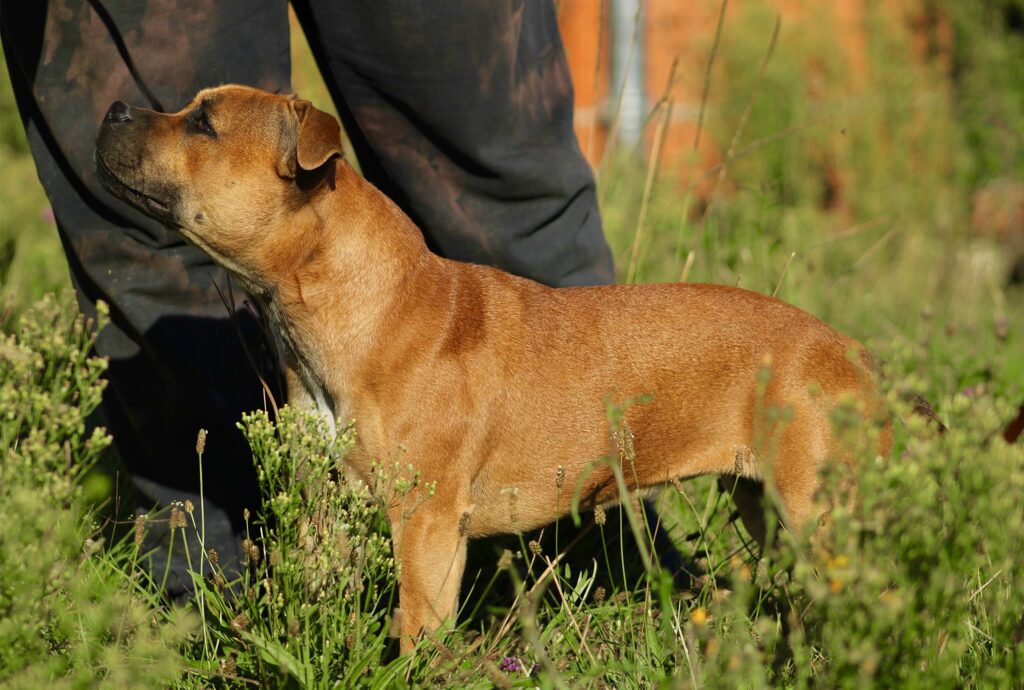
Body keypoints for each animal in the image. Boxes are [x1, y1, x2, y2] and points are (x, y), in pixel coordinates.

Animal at [97, 83, 897, 647]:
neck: (354, 301)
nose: (112, 109)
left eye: (203, 123)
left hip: (819, 512)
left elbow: (418, 632)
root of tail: (848, 350)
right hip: (765, 504)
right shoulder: (332, 506)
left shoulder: (425, 526)